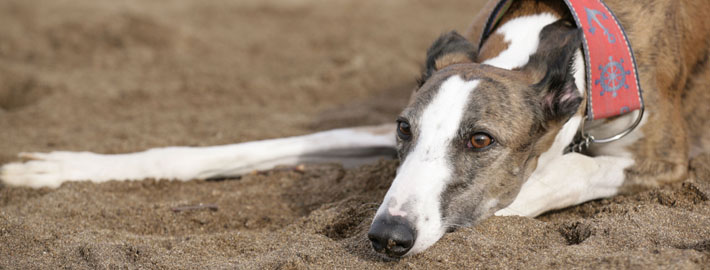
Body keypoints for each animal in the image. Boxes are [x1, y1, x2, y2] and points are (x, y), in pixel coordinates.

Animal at [1, 0, 710, 258]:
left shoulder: (661, 158)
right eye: (404, 131)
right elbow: (263, 145)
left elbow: (540, 183)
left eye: (481, 140)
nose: (387, 237)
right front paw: (59, 167)